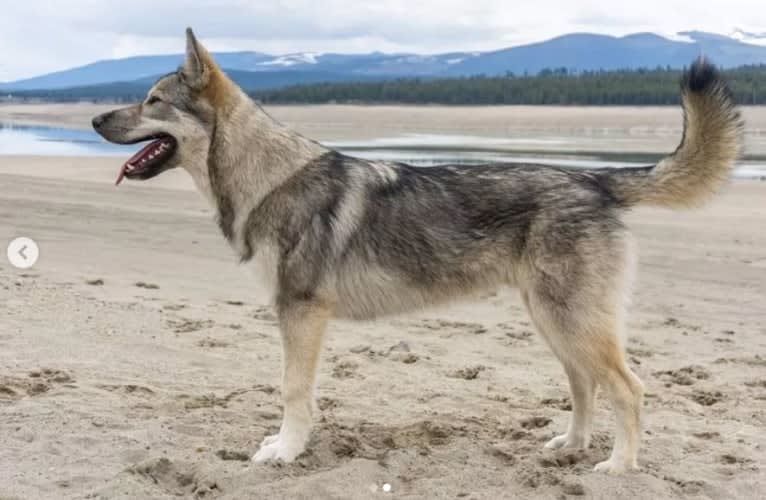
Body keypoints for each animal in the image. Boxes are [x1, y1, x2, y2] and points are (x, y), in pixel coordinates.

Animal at [93, 29, 748, 474]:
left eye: (151, 100)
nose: (96, 117)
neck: (267, 177)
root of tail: (594, 178)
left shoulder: (301, 314)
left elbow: (293, 393)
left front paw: (287, 450)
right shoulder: (297, 315)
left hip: (573, 322)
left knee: (628, 389)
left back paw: (617, 467)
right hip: (554, 323)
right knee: (584, 387)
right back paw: (572, 446)